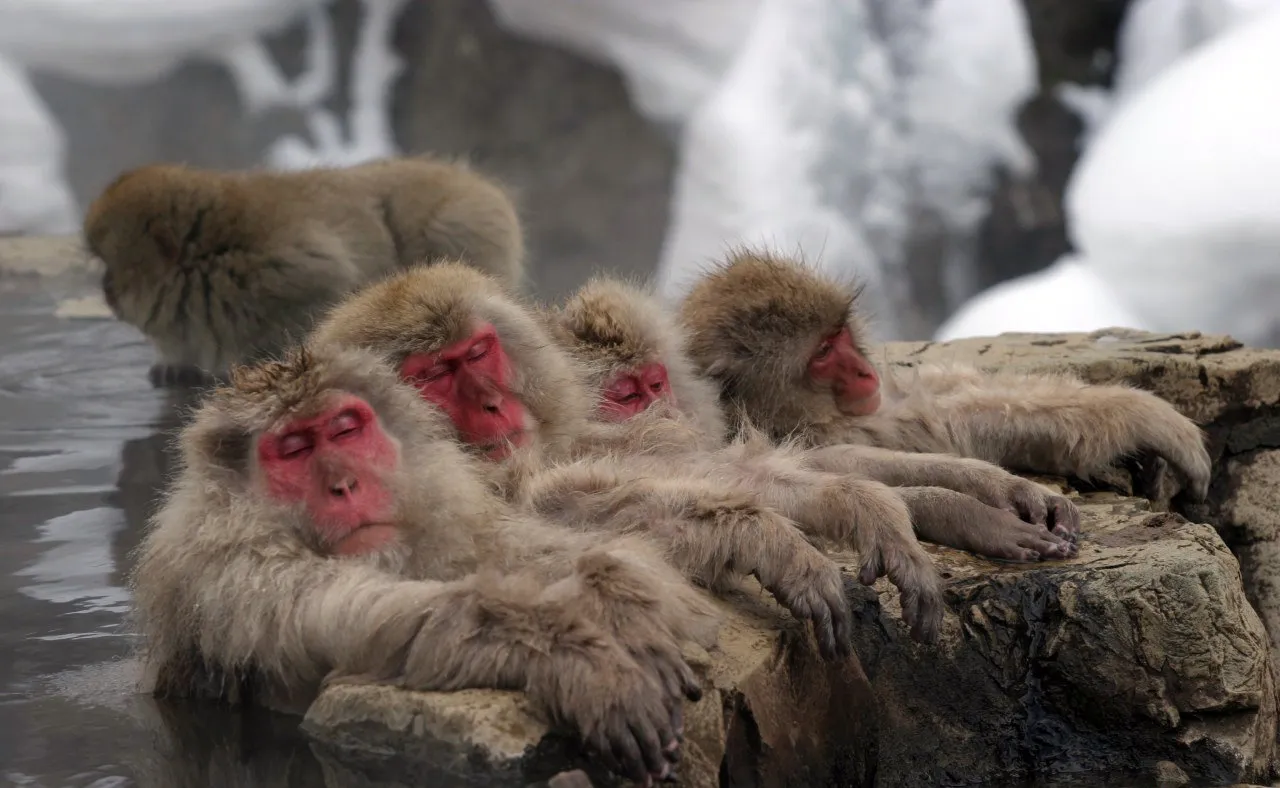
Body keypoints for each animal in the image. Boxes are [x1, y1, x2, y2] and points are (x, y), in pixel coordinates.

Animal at [85, 155, 525, 387]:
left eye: (111, 267)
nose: (105, 291)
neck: (211, 259)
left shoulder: (288, 270)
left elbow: (329, 290)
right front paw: (175, 365)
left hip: (464, 224)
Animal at [128, 344, 723, 785]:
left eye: (345, 430)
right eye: (293, 449)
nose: (345, 485)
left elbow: (512, 548)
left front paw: (619, 597)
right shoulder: (233, 576)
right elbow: (359, 619)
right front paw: (575, 655)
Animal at [674, 249, 1214, 509]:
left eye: (839, 333)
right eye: (823, 354)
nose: (864, 371)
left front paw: (1144, 415)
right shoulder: (826, 429)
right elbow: (935, 429)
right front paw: (1142, 415)